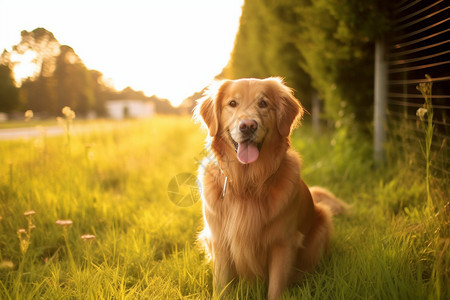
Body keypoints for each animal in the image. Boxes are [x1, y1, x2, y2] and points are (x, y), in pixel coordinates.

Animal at [194, 78, 348, 300]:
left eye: (263, 103)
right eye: (232, 103)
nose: (248, 126)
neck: (247, 184)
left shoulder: (283, 243)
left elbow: (275, 288)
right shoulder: (219, 240)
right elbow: (222, 287)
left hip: (323, 222)